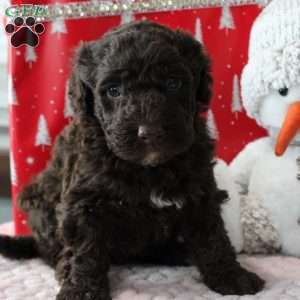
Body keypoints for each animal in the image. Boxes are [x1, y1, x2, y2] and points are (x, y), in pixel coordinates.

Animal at [0, 20, 264, 298]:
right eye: (114, 91)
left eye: (173, 83)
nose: (149, 131)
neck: (149, 167)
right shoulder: (84, 201)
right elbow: (85, 248)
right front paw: (82, 288)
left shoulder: (199, 188)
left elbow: (212, 235)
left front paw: (231, 275)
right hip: (39, 202)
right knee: (52, 250)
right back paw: (64, 266)